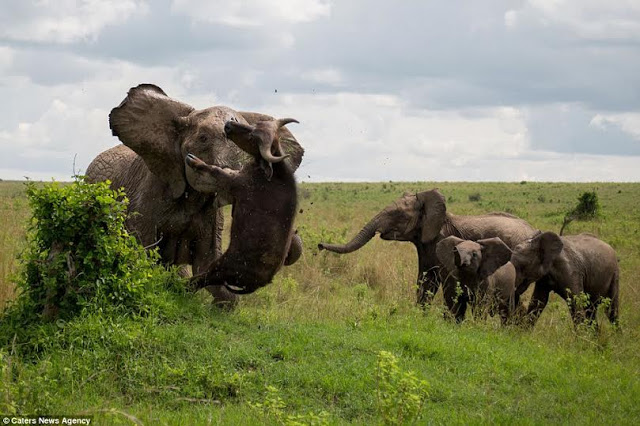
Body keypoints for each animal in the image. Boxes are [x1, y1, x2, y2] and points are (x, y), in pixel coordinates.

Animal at [185, 118, 302, 294]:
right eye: (254, 125)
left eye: (253, 137)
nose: (228, 125)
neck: (272, 174)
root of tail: (261, 283)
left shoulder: (235, 182)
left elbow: (216, 170)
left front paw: (194, 160)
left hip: (220, 267)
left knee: (200, 280)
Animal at [318, 189, 536, 320]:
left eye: (398, 214)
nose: (319, 245)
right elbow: (425, 281)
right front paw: (420, 317)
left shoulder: (441, 241)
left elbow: (445, 282)